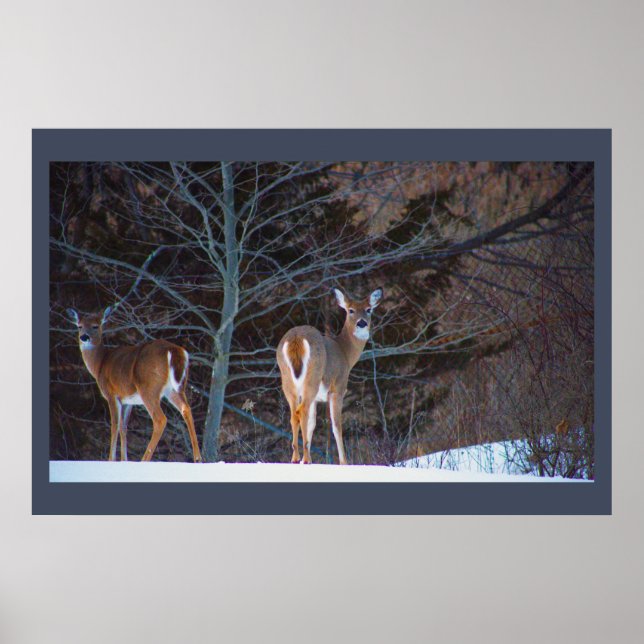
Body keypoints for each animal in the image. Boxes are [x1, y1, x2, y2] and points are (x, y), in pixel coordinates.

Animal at [67, 306, 202, 463]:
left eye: (96, 326)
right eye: (79, 326)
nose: (84, 337)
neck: (100, 364)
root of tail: (173, 349)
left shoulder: (112, 394)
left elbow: (114, 425)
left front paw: (111, 459)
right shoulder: (128, 401)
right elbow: (124, 427)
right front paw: (124, 459)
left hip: (148, 387)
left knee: (160, 419)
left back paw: (144, 459)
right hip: (175, 388)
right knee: (186, 409)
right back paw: (198, 458)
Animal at [276, 287, 383, 465]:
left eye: (369, 309)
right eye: (350, 310)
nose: (362, 323)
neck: (345, 353)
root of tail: (296, 339)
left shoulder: (317, 398)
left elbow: (312, 423)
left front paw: (306, 454)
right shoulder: (338, 388)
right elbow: (336, 425)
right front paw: (344, 461)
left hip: (287, 380)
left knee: (294, 415)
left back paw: (296, 457)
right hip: (312, 376)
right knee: (301, 411)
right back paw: (305, 458)